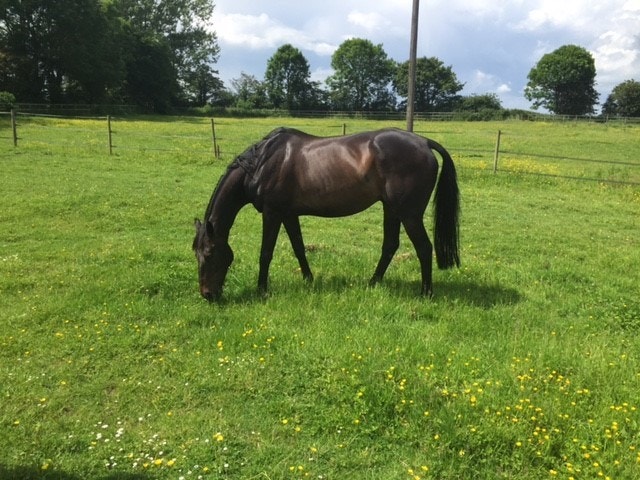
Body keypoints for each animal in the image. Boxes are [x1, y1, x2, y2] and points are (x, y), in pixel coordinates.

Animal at [193, 127, 460, 301]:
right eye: (196, 253)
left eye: (209, 253)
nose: (207, 295)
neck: (261, 163)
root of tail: (424, 142)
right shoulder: (288, 214)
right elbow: (298, 248)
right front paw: (309, 280)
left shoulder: (272, 213)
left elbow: (265, 253)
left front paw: (262, 290)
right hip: (391, 208)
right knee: (390, 246)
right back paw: (372, 283)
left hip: (409, 214)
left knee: (423, 247)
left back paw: (426, 293)